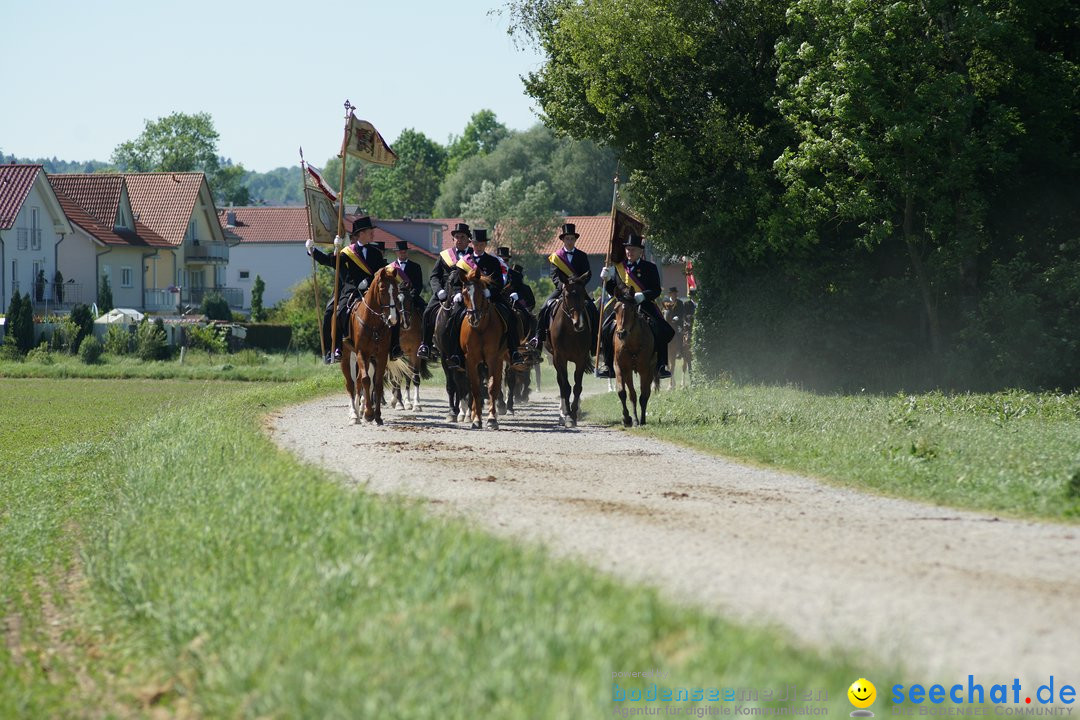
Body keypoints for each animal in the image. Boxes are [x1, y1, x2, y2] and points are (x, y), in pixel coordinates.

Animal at [341, 266, 401, 425]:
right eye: (382, 290)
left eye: (396, 291)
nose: (392, 319)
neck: (373, 323)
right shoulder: (362, 353)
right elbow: (366, 380)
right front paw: (368, 414)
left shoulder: (381, 356)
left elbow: (377, 384)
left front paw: (377, 415)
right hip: (347, 355)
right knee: (351, 383)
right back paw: (354, 414)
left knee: (359, 383)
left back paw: (359, 411)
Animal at [455, 268, 505, 427]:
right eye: (464, 293)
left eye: (480, 293)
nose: (473, 318)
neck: (481, 328)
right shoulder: (470, 360)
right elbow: (475, 388)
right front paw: (476, 419)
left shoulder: (493, 359)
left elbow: (492, 388)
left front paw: (492, 419)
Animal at [544, 272, 596, 427]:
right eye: (567, 295)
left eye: (583, 294)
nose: (579, 324)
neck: (571, 332)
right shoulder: (560, 358)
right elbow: (566, 387)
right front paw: (567, 416)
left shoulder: (581, 358)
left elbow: (577, 387)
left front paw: (574, 413)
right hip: (555, 359)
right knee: (561, 384)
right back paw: (562, 413)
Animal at [613, 289, 652, 427]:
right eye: (615, 309)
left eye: (631, 309)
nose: (621, 333)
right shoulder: (621, 367)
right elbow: (624, 393)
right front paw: (627, 418)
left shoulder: (645, 370)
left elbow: (643, 396)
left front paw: (640, 420)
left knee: (646, 393)